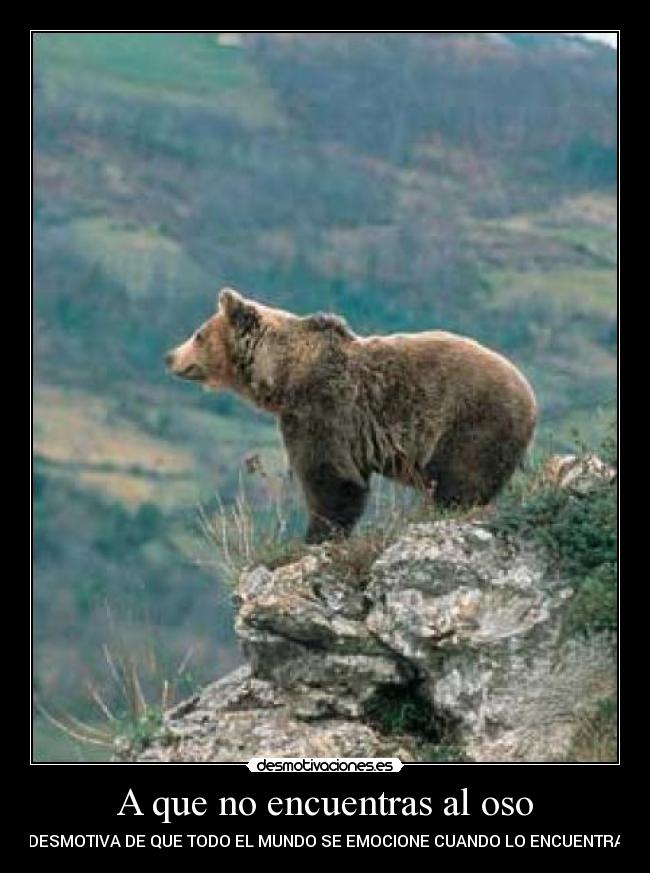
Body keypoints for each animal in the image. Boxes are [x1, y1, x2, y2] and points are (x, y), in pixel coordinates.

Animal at [165, 288, 537, 544]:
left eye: (198, 334)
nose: (169, 356)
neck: (282, 374)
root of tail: (530, 397)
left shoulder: (324, 407)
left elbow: (330, 477)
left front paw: (315, 537)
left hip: (471, 421)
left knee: (461, 480)